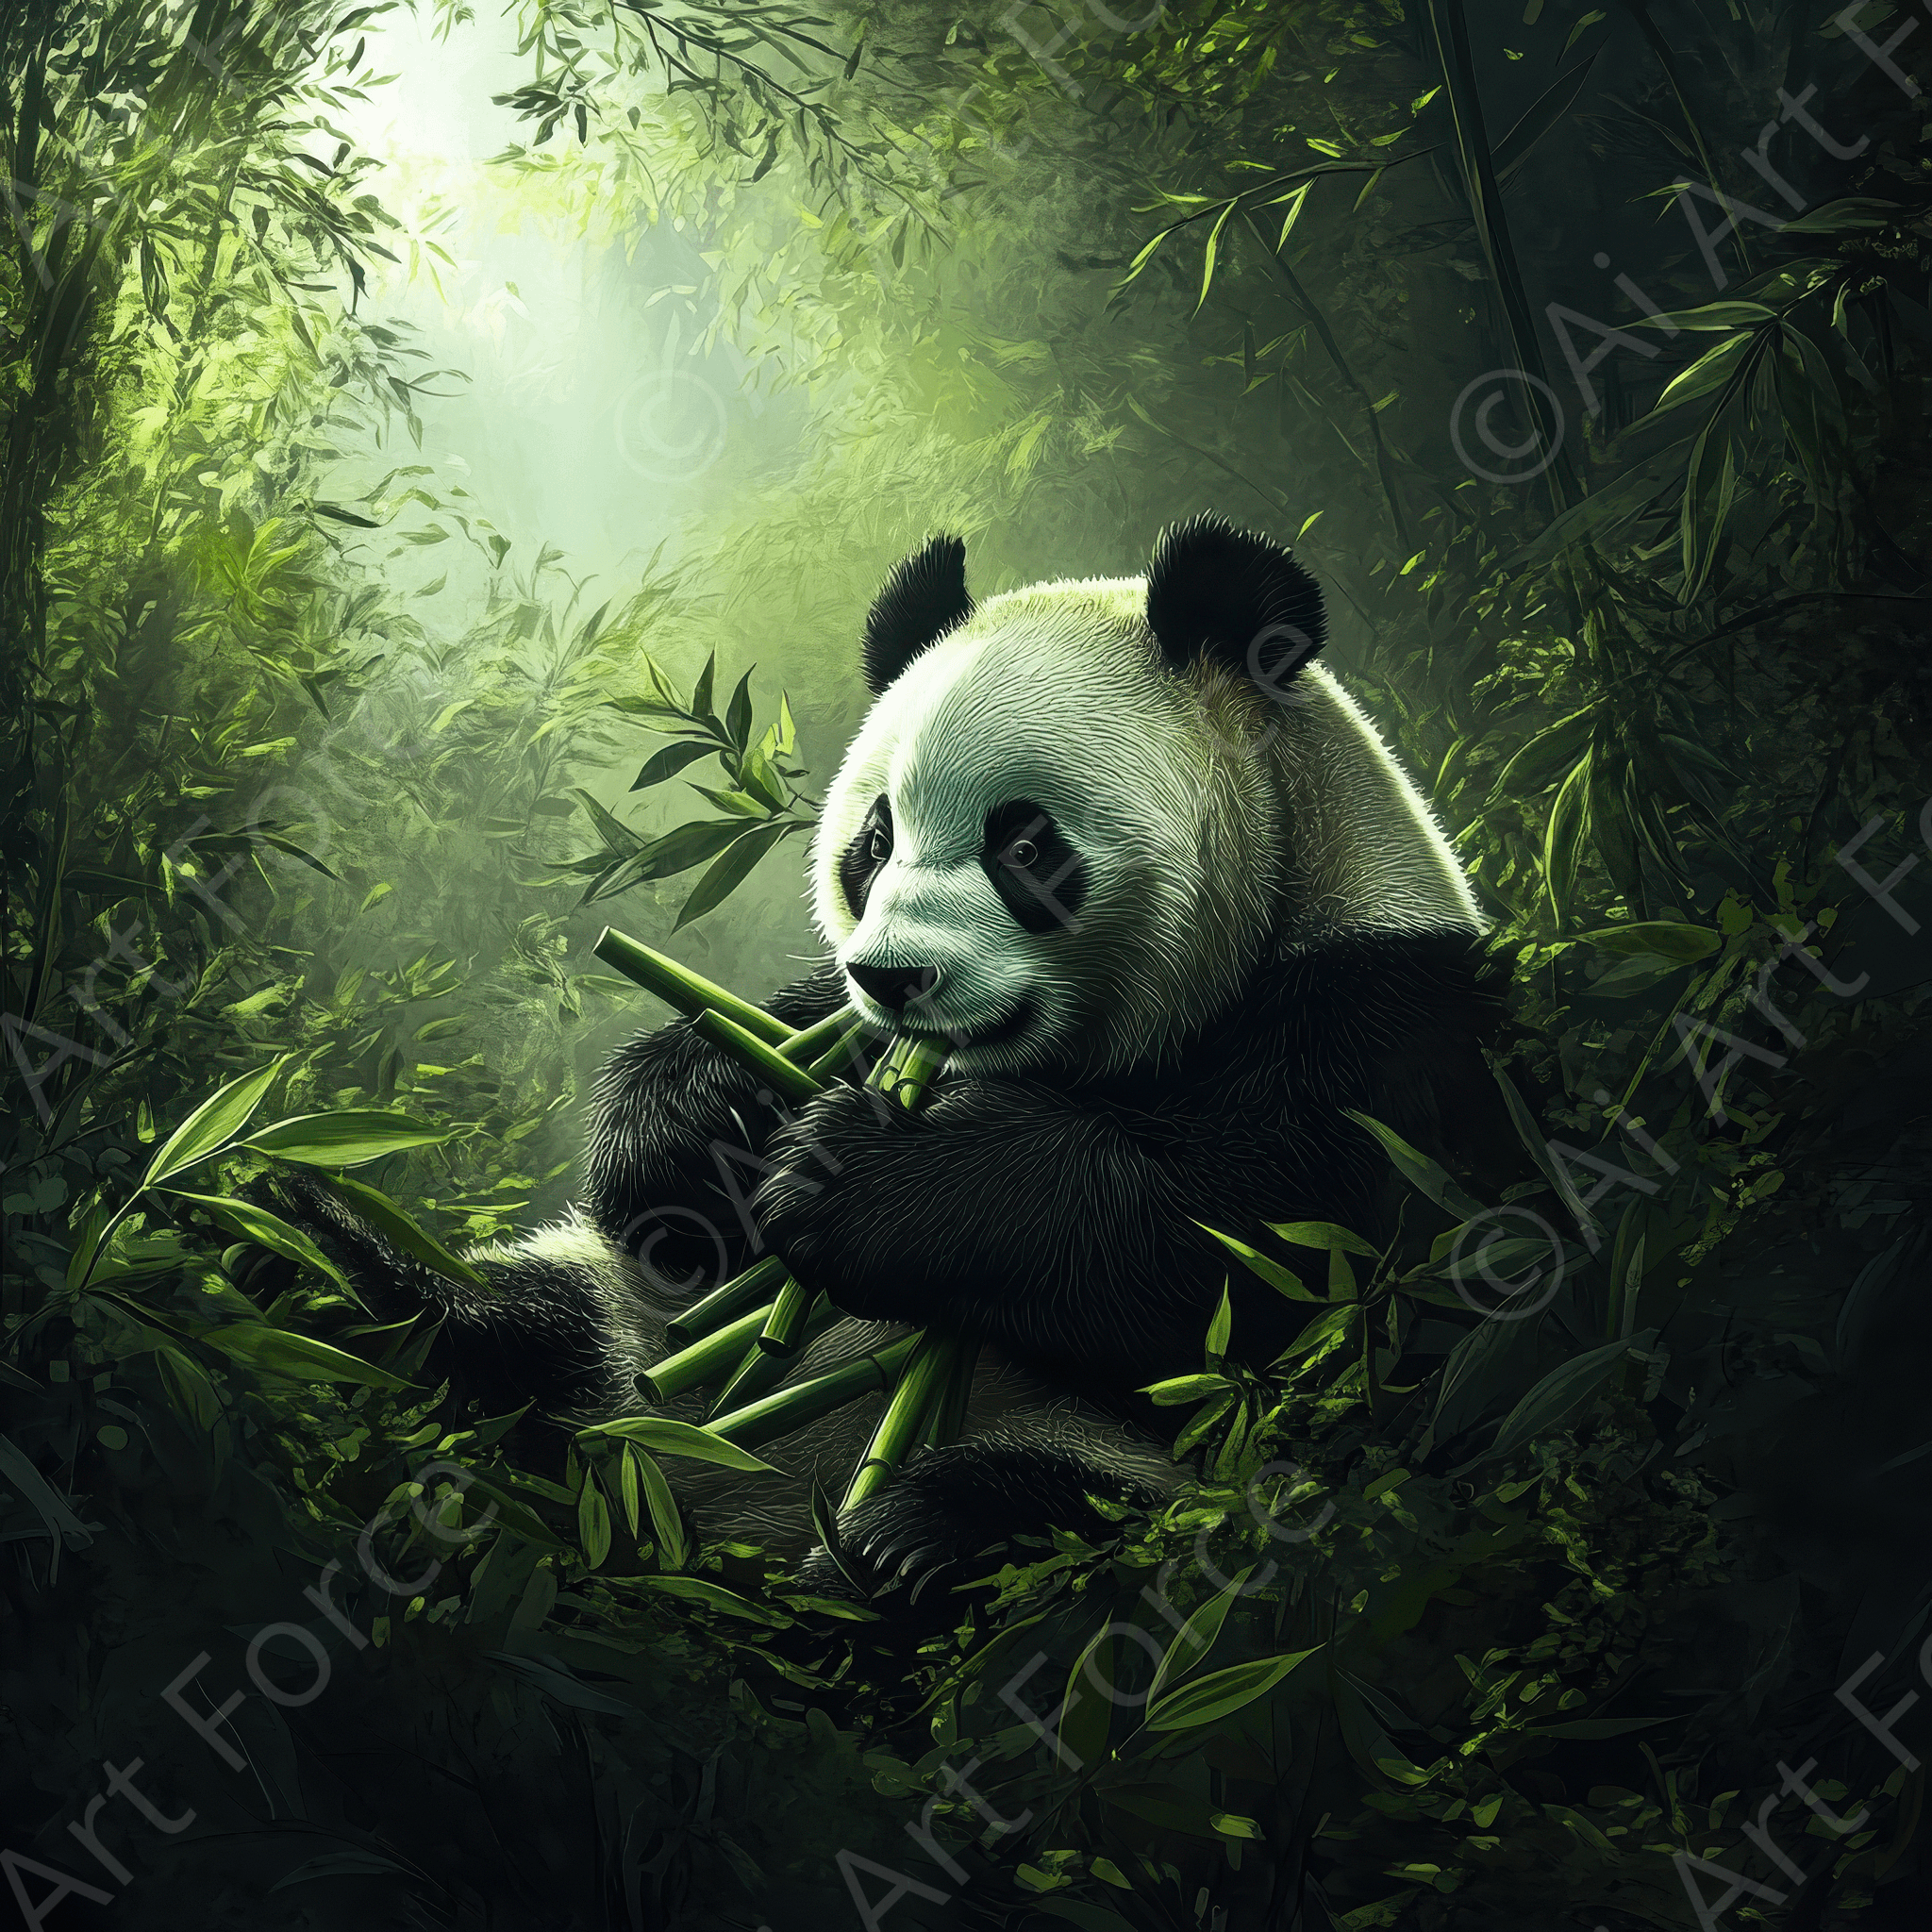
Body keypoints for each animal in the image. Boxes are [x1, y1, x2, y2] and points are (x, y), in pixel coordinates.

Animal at [284, 514, 1507, 1598]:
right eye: (872, 842)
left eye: (1025, 842)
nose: (895, 976)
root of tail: (686, 1501)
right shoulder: (842, 1023)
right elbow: (713, 1121)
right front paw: (702, 1123)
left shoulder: (1380, 1026)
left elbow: (1259, 1271)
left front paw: (862, 1179)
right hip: (617, 1328)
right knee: (531, 1319)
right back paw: (334, 1265)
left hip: (1125, 1472)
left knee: (1077, 1501)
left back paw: (906, 1544)